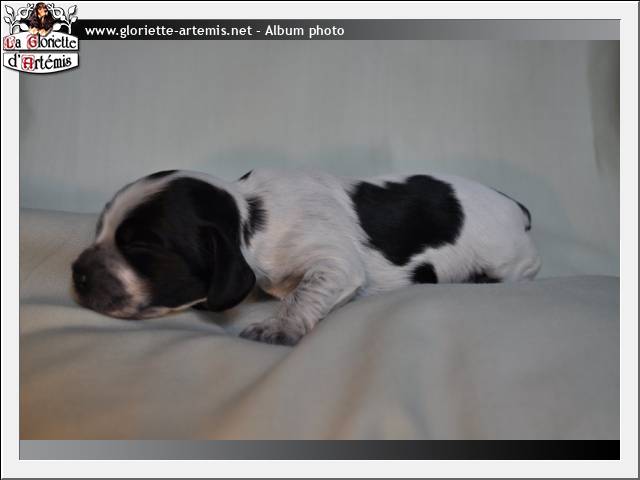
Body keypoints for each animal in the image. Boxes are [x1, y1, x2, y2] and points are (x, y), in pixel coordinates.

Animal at [72, 169, 541, 345]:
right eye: (100, 231)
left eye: (141, 246)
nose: (76, 275)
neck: (249, 217)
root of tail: (518, 206)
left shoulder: (334, 262)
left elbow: (304, 293)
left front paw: (278, 328)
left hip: (507, 258)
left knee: (526, 271)